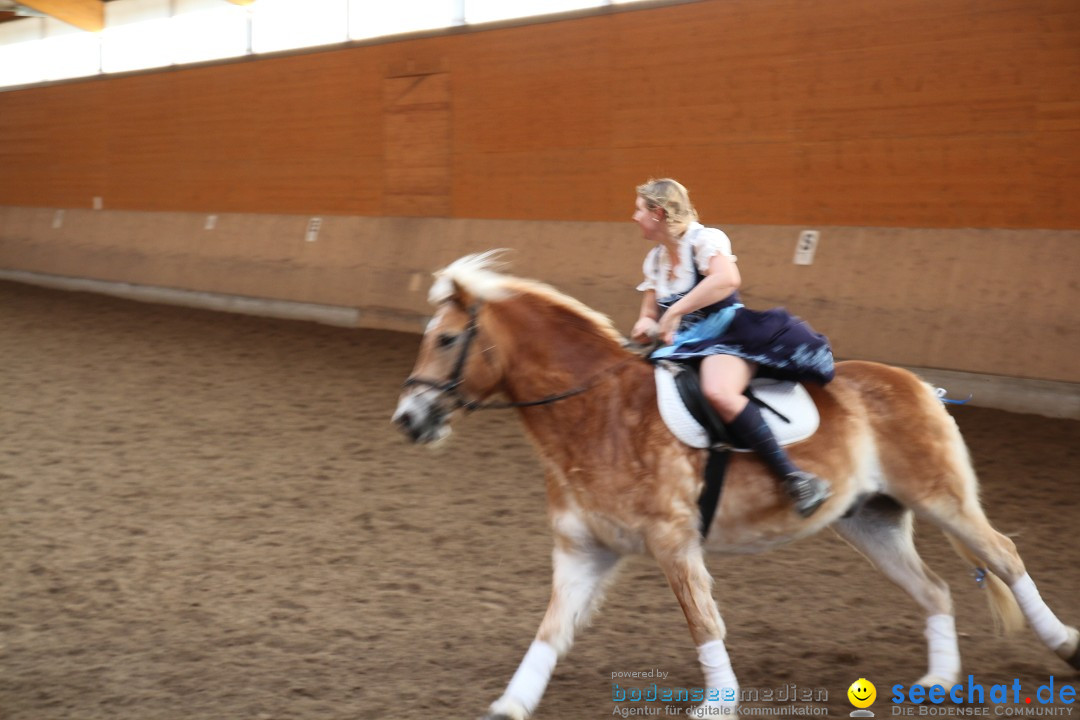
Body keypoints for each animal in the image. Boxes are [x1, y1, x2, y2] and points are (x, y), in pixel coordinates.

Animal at [393, 253, 1075, 720]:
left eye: (447, 339)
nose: (408, 419)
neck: (597, 411)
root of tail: (914, 383)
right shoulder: (584, 549)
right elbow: (550, 630)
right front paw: (510, 703)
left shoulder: (673, 542)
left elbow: (703, 622)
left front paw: (718, 704)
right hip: (871, 520)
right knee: (934, 590)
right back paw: (939, 683)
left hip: (940, 497)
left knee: (1004, 556)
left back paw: (1065, 644)